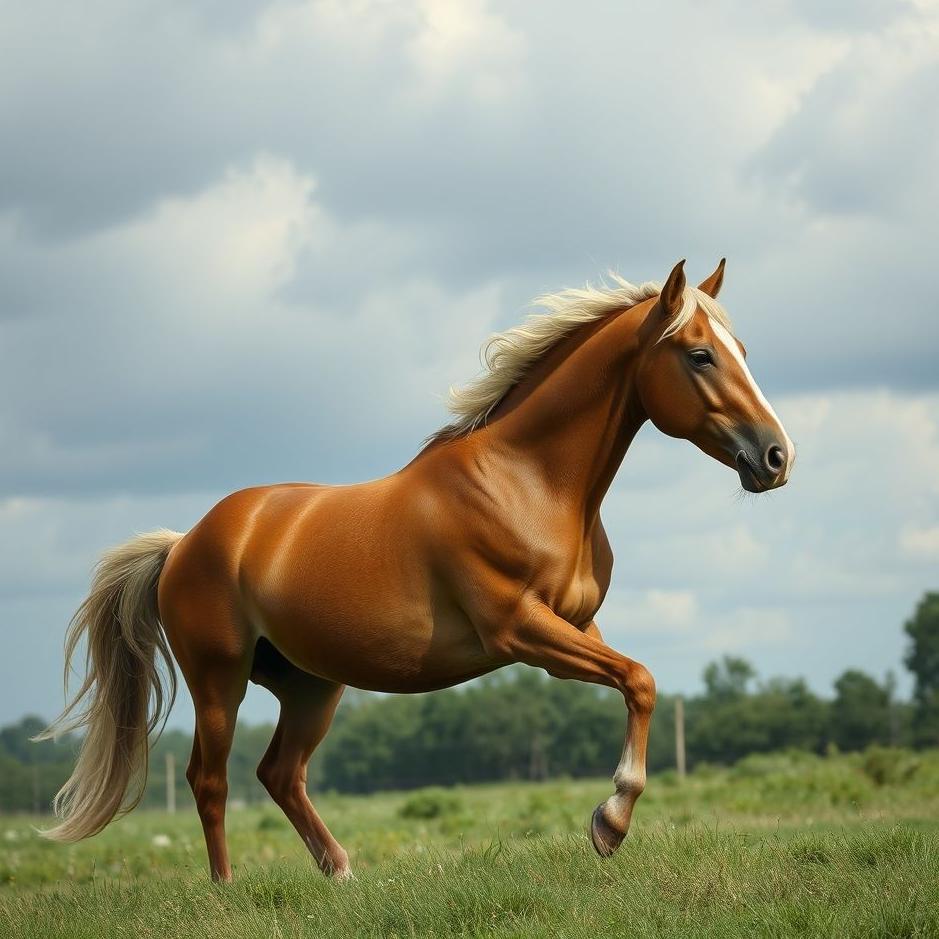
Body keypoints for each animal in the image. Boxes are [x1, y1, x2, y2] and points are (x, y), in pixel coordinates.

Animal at [38, 258, 793, 882]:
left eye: (743, 352)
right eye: (699, 354)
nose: (775, 456)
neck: (526, 482)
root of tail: (184, 541)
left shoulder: (577, 625)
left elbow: (637, 682)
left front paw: (610, 821)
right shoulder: (522, 631)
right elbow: (639, 679)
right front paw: (608, 823)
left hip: (311, 685)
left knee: (279, 773)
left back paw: (341, 873)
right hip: (219, 680)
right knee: (211, 779)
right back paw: (227, 890)